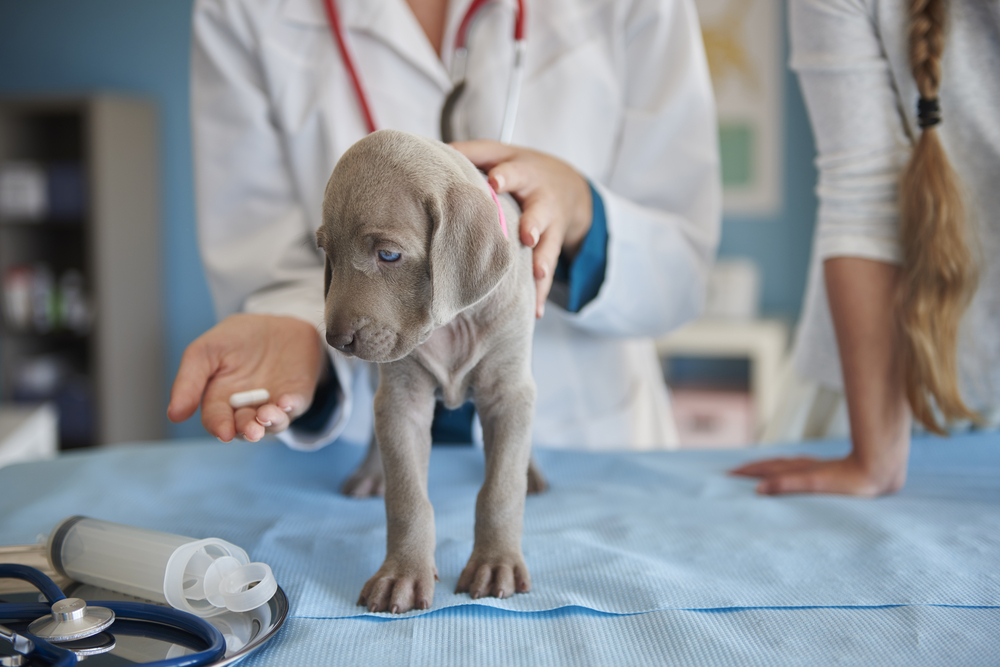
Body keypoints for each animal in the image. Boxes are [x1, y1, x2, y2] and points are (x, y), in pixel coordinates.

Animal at [318, 128, 540, 612]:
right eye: (327, 254)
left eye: (388, 254)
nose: (336, 341)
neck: (453, 321)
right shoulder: (403, 400)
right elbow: (407, 498)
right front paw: (401, 574)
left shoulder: (508, 392)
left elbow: (500, 488)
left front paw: (496, 563)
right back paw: (369, 474)